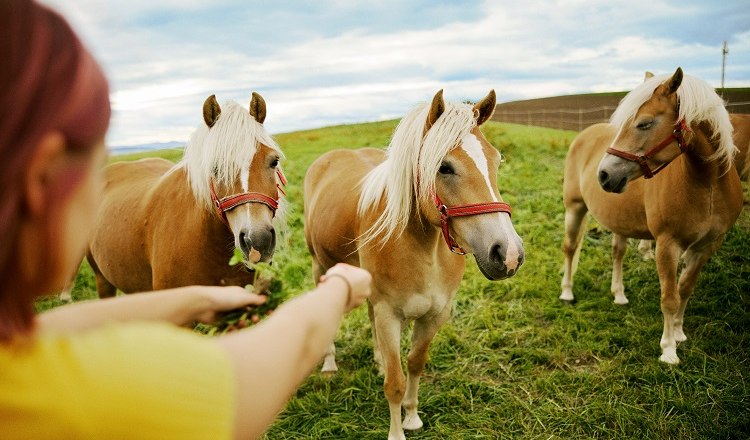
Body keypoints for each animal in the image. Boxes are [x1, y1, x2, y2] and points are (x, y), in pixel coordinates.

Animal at [302, 90, 524, 440]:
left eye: (496, 160)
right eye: (444, 167)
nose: (508, 253)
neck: (422, 249)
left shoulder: (435, 315)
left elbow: (415, 363)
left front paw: (412, 416)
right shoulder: (389, 315)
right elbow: (394, 383)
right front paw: (397, 431)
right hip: (319, 268)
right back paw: (329, 364)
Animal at [560, 67, 744, 364]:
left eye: (644, 123)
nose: (604, 174)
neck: (708, 185)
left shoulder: (706, 246)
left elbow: (685, 289)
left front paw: (679, 333)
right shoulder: (667, 245)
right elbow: (669, 297)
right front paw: (668, 349)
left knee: (617, 253)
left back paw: (619, 294)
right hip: (574, 208)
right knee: (570, 248)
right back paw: (567, 291)